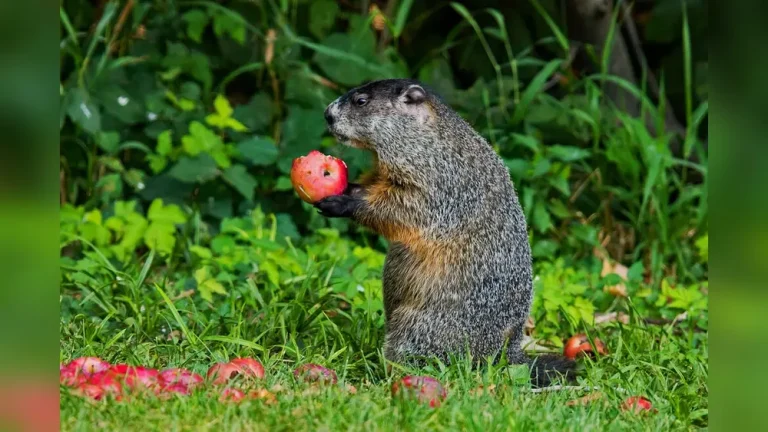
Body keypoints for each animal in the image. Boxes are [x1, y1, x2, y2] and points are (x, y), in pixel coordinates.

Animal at [315, 78, 575, 387]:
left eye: (361, 101)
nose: (326, 114)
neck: (424, 138)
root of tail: (507, 357)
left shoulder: (438, 176)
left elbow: (406, 205)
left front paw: (343, 202)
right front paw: (347, 188)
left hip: (419, 326)